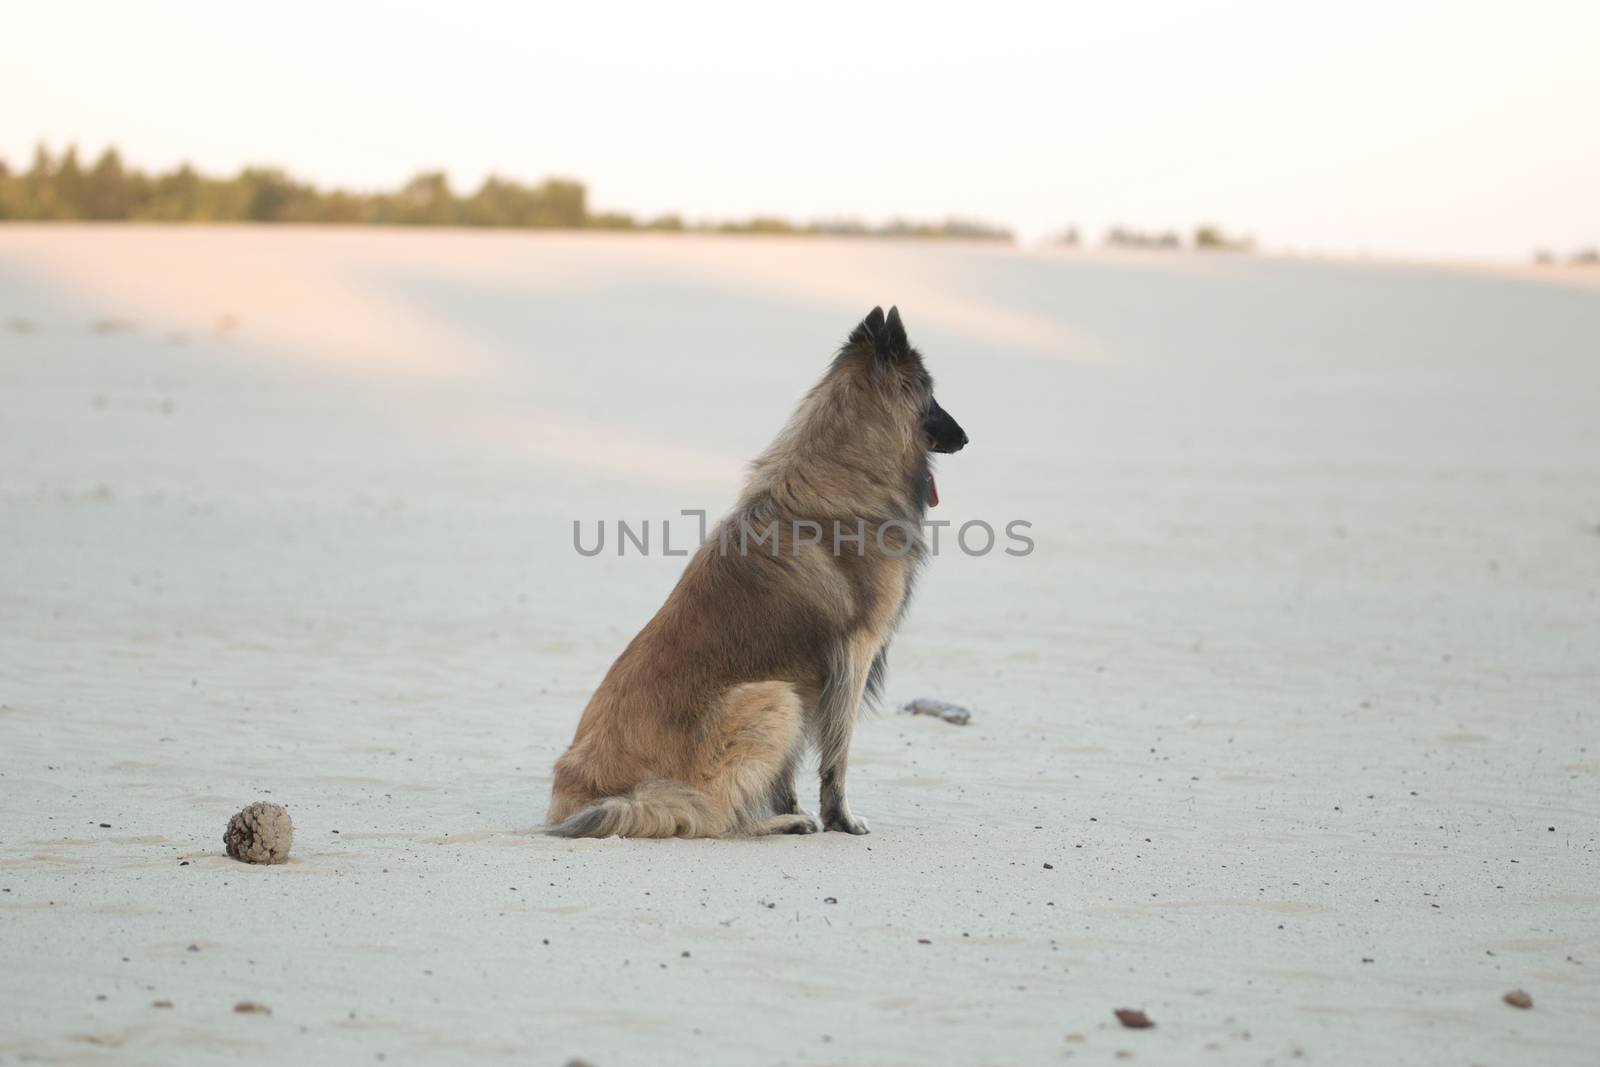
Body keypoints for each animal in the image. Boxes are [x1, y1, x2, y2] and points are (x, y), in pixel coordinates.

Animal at [550, 303, 966, 838]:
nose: (965, 437)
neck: (849, 468)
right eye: (932, 397)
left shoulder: (813, 678)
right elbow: (838, 752)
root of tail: (575, 792)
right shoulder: (853, 655)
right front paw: (839, 817)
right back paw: (778, 824)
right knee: (712, 816)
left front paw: (795, 804)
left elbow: (788, 769)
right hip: (774, 697)